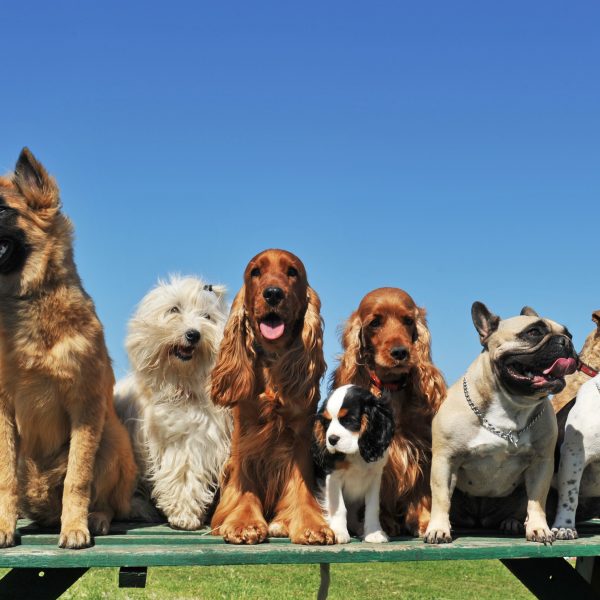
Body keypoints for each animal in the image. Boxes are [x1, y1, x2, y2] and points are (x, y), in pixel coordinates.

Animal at [0, 149, 136, 548]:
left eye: (1, 209)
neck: (32, 300)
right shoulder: (3, 410)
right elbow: (4, 478)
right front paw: (3, 526)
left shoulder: (85, 405)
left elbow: (78, 477)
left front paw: (74, 527)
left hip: (112, 439)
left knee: (106, 500)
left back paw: (95, 518)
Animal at [115, 276, 232, 528]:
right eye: (174, 309)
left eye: (207, 316)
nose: (193, 334)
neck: (181, 384)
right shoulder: (181, 442)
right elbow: (183, 473)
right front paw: (184, 514)